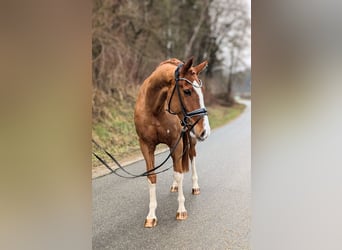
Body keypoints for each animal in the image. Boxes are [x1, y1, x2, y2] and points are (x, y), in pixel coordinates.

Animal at [134, 57, 210, 228]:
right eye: (187, 91)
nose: (205, 131)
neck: (154, 109)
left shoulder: (177, 141)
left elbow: (179, 173)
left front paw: (181, 210)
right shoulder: (146, 146)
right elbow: (152, 177)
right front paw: (151, 215)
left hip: (190, 139)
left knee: (190, 158)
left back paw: (195, 186)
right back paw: (175, 185)